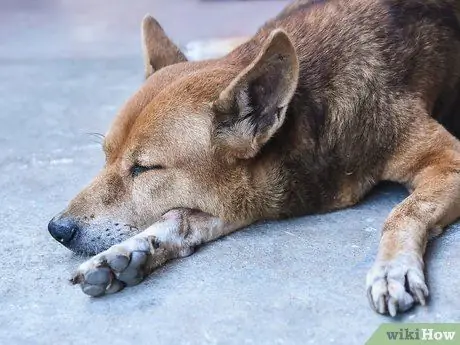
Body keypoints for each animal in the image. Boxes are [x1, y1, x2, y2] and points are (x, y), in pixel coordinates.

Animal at [49, 0, 460, 318]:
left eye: (144, 168)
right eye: (105, 156)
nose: (57, 229)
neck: (309, 112)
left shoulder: (449, 160)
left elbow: (404, 212)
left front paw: (393, 269)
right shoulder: (254, 193)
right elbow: (178, 219)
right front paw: (129, 253)